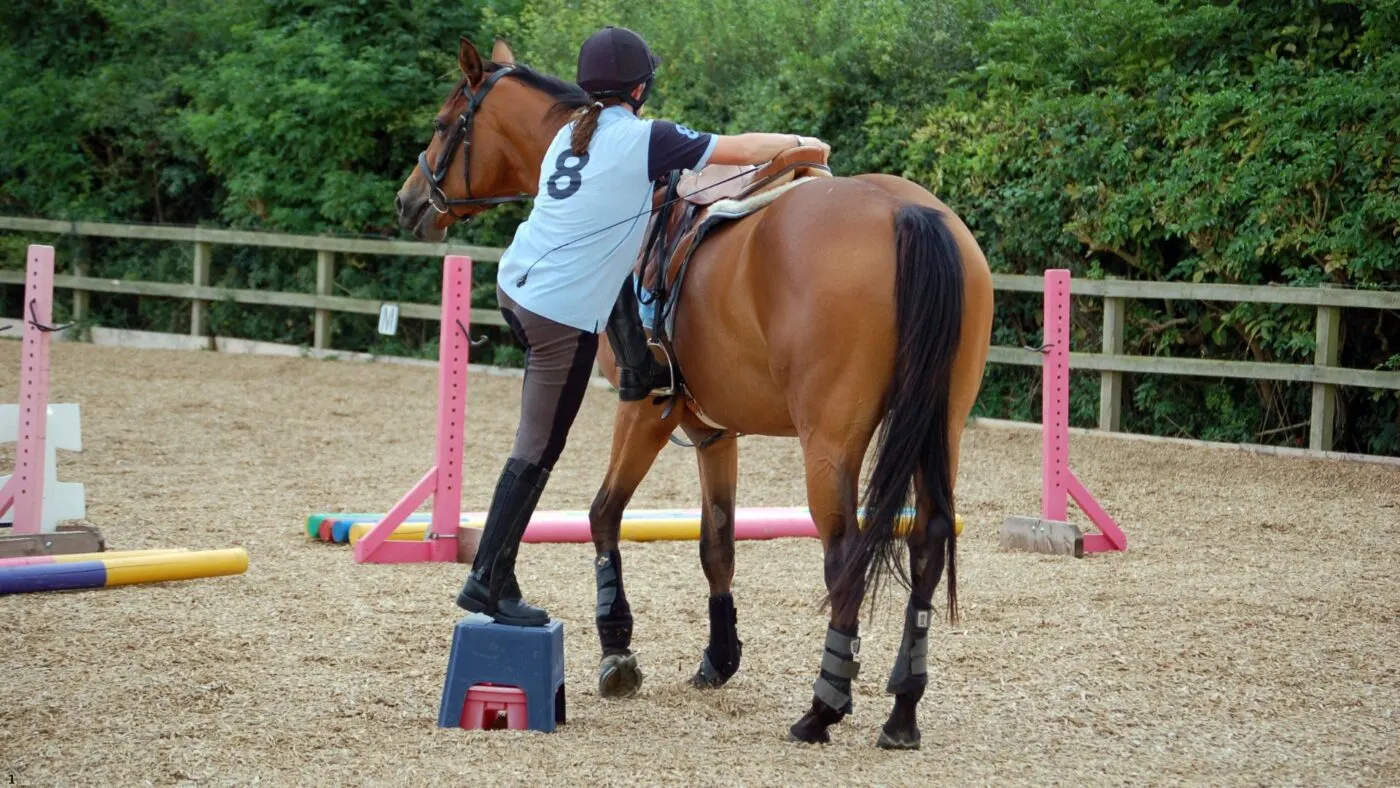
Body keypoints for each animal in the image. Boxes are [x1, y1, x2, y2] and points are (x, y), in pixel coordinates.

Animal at [394, 37, 994, 749]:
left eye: (442, 124)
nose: (408, 202)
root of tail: (908, 212)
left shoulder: (646, 408)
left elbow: (603, 513)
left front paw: (617, 649)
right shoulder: (714, 429)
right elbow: (717, 542)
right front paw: (719, 657)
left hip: (830, 441)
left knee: (844, 552)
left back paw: (823, 707)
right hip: (940, 427)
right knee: (927, 537)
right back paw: (902, 710)